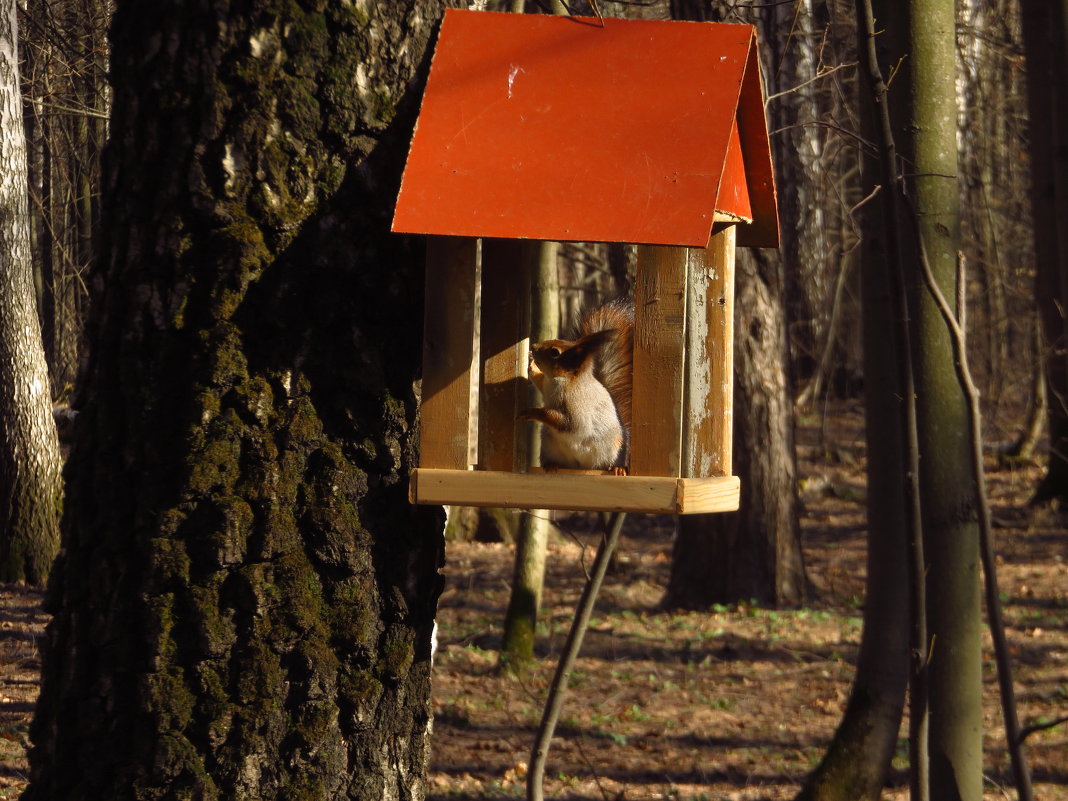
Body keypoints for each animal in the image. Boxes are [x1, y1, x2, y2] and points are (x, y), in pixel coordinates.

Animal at [519, 301, 632, 476]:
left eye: (554, 352)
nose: (534, 346)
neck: (562, 380)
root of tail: (584, 467)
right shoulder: (545, 384)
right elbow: (538, 378)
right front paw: (531, 362)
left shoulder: (577, 409)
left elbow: (565, 422)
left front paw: (532, 412)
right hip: (550, 448)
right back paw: (551, 465)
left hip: (616, 450)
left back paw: (619, 468)